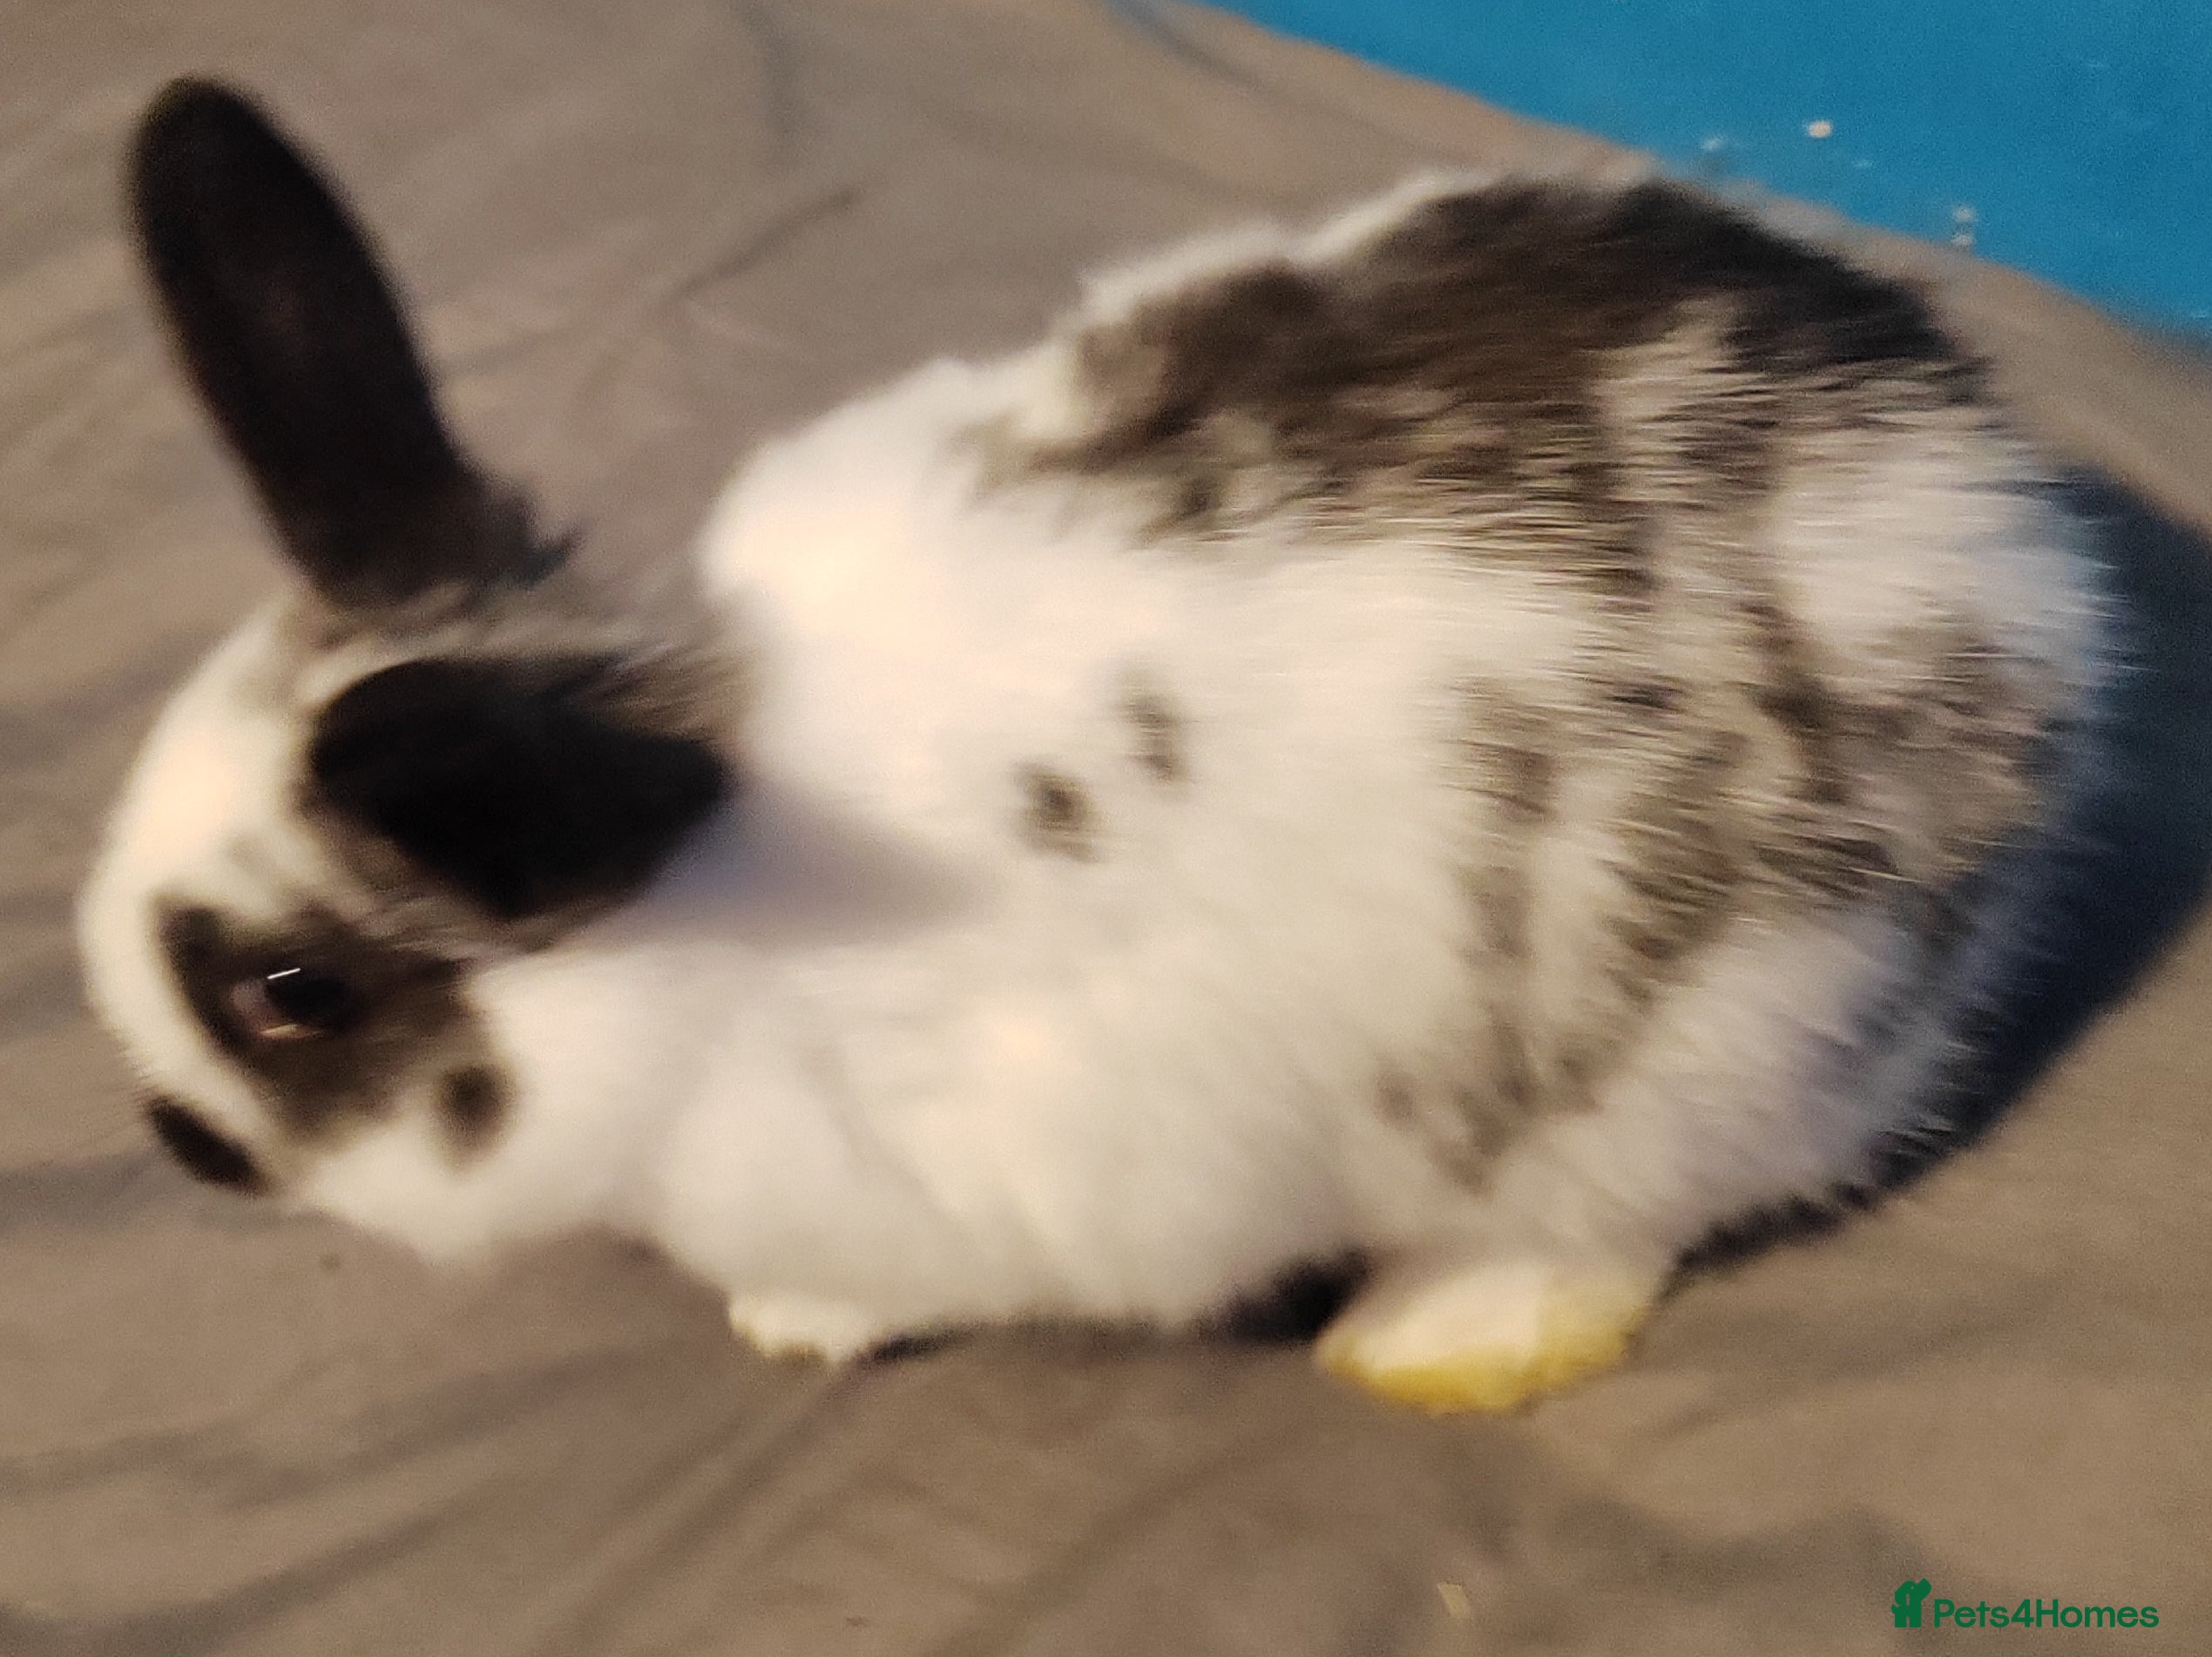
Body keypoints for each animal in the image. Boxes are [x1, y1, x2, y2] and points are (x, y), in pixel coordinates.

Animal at [79, 77, 2115, 1413]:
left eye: (292, 994)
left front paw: (788, 1324)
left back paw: (1429, 1344)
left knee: (1613, 1223)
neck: (697, 938)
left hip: (1697, 1061)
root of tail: (2001, 522)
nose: (176, 1142)